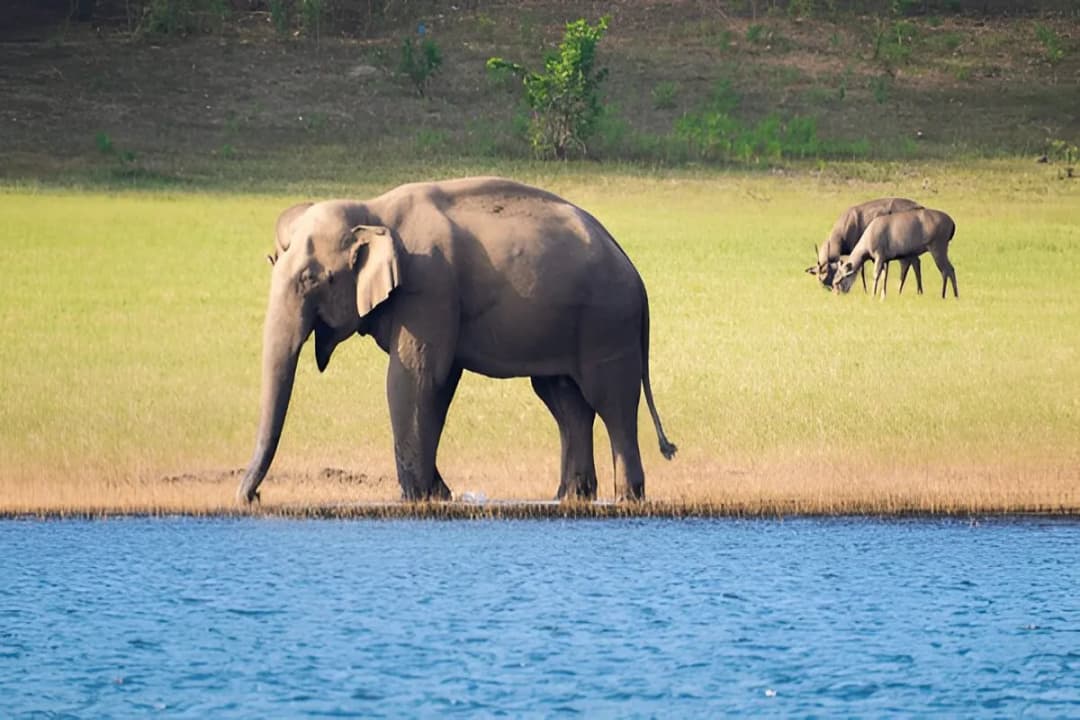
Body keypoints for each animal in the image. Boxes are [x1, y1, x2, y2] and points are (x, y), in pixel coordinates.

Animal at [238, 176, 677, 504]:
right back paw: (570, 497)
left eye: (311, 279)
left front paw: (415, 498)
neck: (373, 210)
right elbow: (438, 383)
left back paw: (626, 498)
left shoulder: (429, 287)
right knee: (565, 402)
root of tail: (635, 273)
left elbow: (414, 378)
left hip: (607, 322)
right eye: (273, 263)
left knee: (611, 401)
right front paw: (438, 495)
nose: (252, 498)